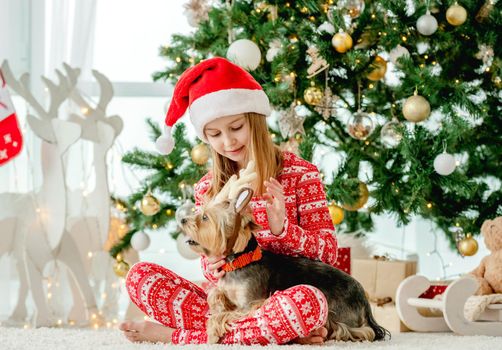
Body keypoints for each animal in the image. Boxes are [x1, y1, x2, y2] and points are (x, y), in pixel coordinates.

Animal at [182, 165, 390, 344]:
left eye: (205, 218)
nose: (183, 220)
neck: (239, 261)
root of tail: (365, 300)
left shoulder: (250, 303)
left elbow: (224, 315)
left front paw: (212, 331)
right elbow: (215, 293)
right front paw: (216, 306)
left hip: (339, 312)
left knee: (357, 330)